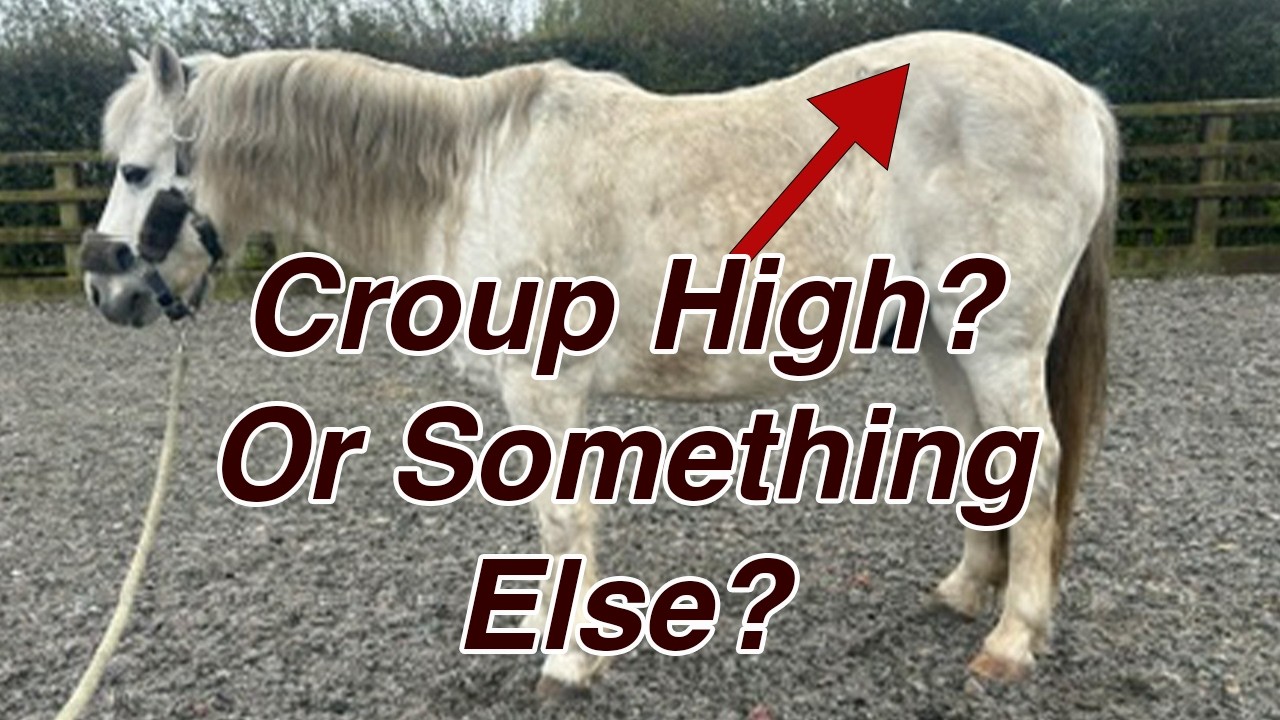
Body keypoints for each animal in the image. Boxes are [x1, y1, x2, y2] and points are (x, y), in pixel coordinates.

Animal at [82, 30, 1115, 697]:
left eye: (135, 171)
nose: (105, 289)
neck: (473, 179)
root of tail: (1078, 98)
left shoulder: (545, 388)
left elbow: (562, 517)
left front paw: (570, 663)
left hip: (999, 342)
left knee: (1038, 465)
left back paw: (1012, 641)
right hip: (946, 339)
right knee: (988, 459)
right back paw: (967, 592)